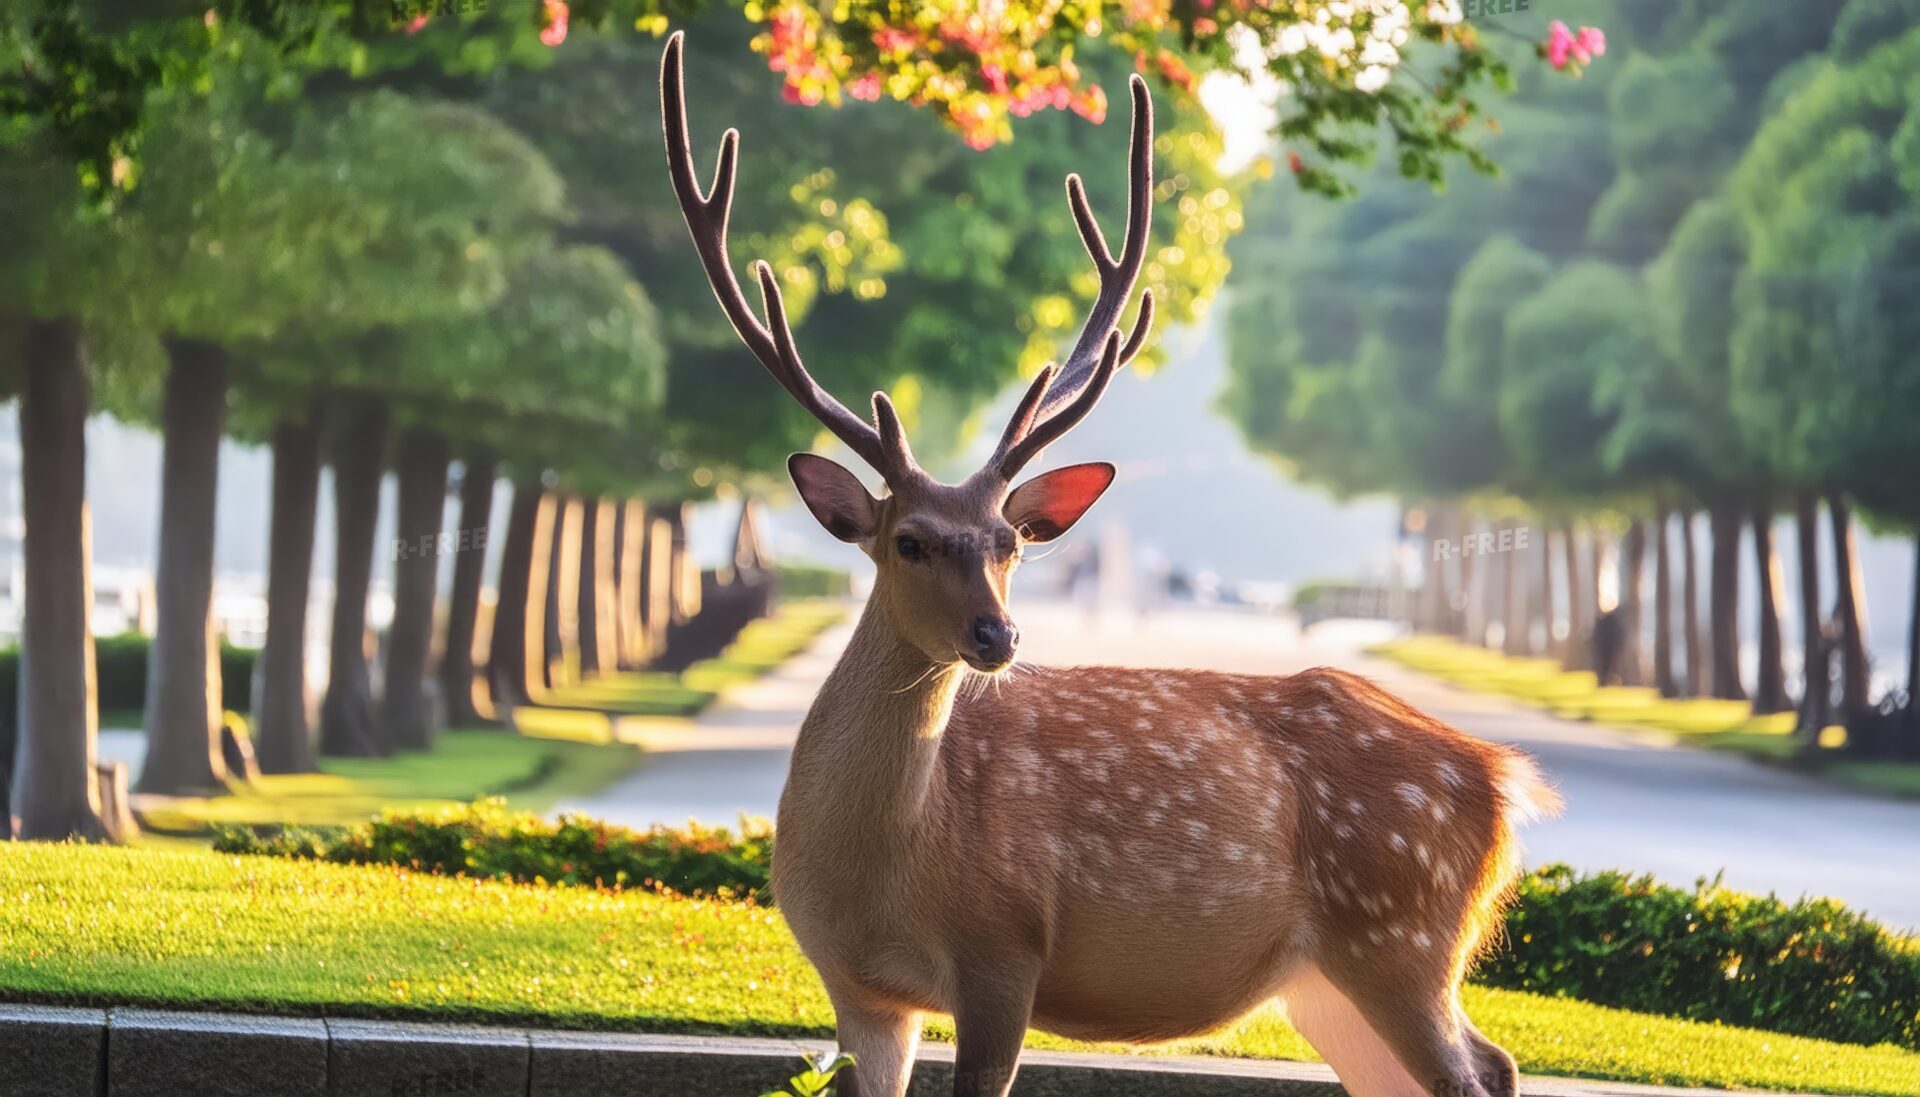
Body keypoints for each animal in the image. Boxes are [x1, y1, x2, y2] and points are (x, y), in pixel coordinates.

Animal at [660, 32, 1561, 1097]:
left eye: (1009, 543)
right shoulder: (858, 989)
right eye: (908, 538)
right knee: (1478, 1061)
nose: (999, 635)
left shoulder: (1006, 945)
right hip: (1331, 983)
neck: (880, 875)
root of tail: (1503, 778)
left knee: (1480, 1068)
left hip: (1400, 928)